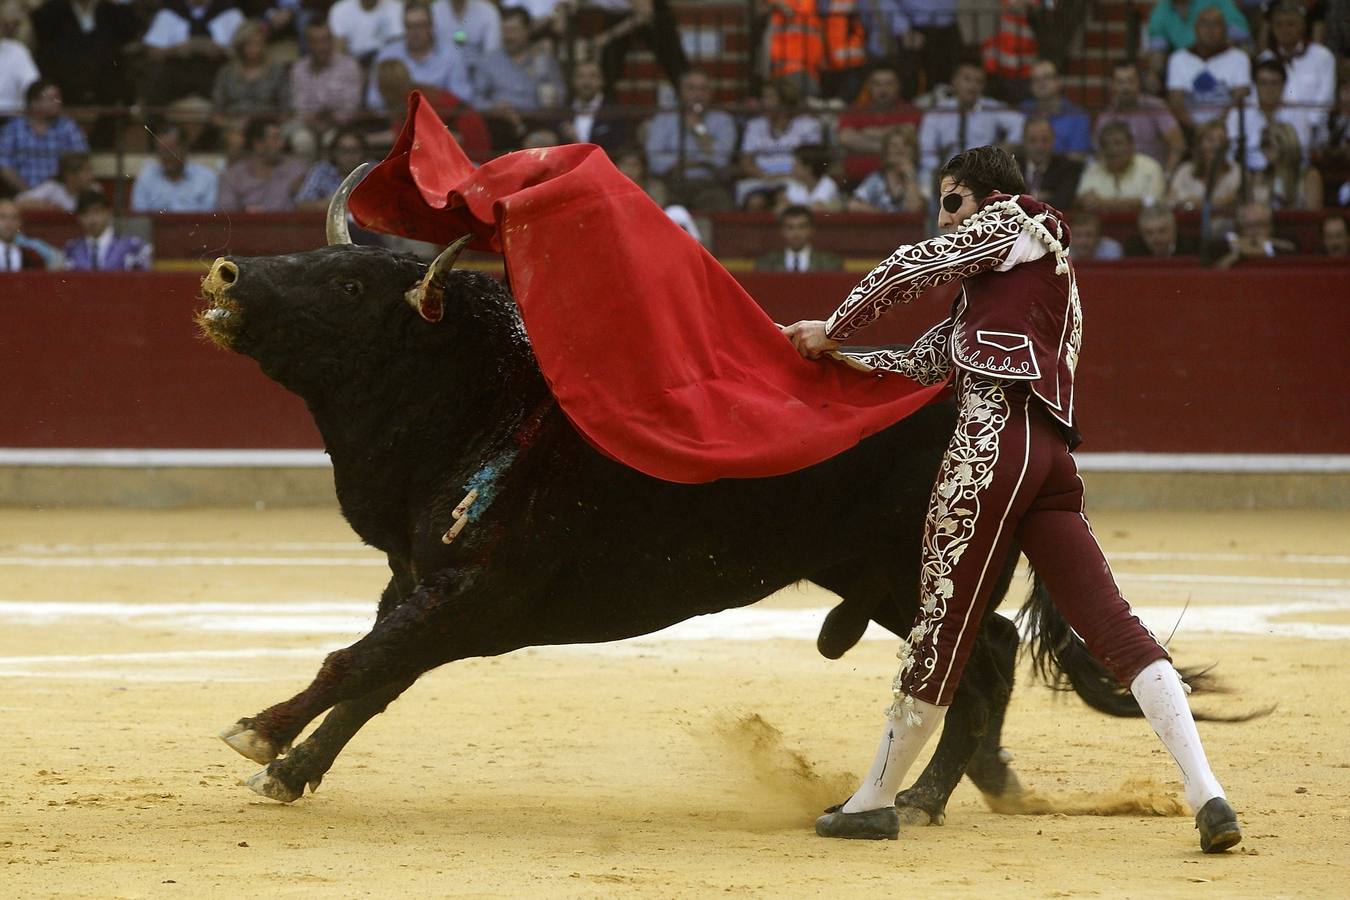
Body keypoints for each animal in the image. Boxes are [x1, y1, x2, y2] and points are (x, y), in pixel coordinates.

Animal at [195, 242, 1166, 820]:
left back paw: (925, 796)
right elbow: (375, 675)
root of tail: (1020, 413)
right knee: (988, 653)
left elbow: (354, 663)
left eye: (350, 283)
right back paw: (978, 786)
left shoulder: (475, 597)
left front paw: (258, 734)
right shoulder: (419, 581)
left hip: (926, 569)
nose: (226, 275)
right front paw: (290, 770)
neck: (489, 400)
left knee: (978, 659)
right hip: (885, 579)